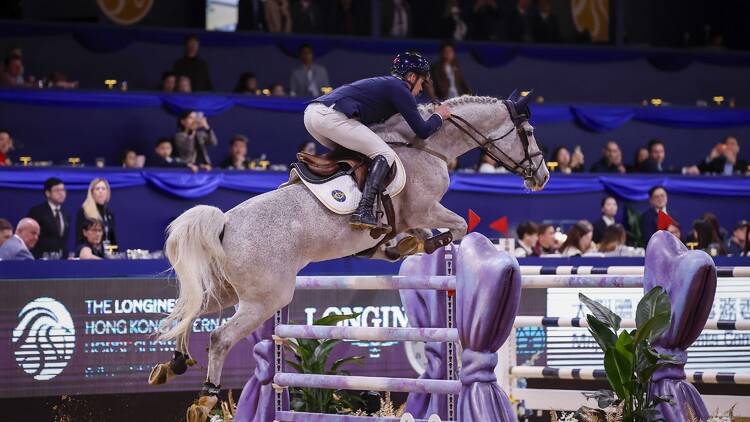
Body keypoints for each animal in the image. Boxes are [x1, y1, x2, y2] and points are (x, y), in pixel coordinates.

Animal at [152, 92, 549, 420]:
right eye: (529, 132)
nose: (543, 176)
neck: (426, 147)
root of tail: (224, 223)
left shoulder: (411, 218)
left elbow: (417, 235)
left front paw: (400, 247)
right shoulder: (424, 209)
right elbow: (459, 226)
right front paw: (433, 246)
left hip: (228, 291)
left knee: (186, 314)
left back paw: (174, 364)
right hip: (267, 299)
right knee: (219, 338)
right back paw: (205, 398)